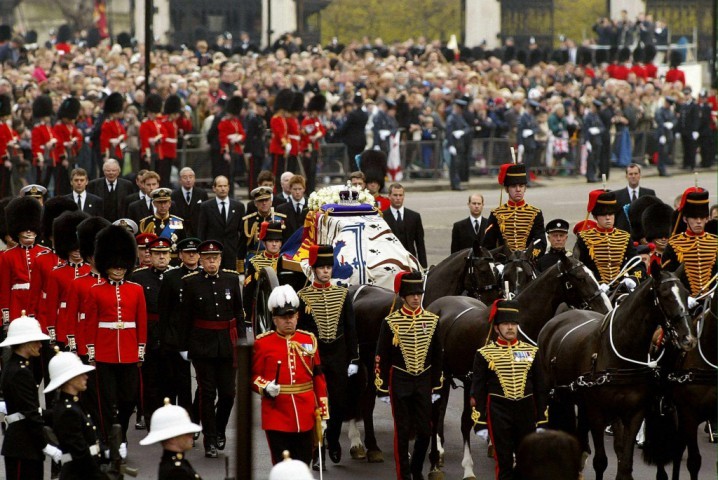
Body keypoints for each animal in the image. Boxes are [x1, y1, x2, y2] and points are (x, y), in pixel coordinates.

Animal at [540, 268, 696, 480]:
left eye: (686, 294)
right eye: (665, 295)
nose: (688, 338)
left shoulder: (634, 413)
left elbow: (625, 463)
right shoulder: (597, 412)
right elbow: (600, 461)